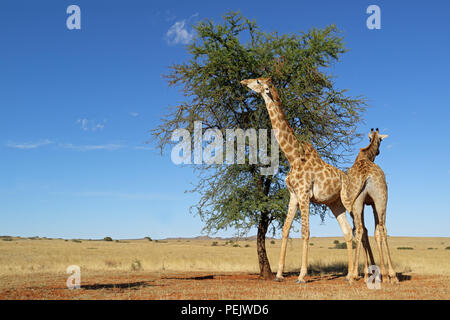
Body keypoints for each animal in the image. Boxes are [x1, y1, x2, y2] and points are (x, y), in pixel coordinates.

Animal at [241, 78, 360, 282]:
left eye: (258, 81)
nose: (243, 81)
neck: (293, 157)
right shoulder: (293, 195)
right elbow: (285, 229)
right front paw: (279, 275)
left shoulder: (304, 194)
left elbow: (305, 232)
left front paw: (302, 276)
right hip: (335, 204)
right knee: (347, 232)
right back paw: (349, 275)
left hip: (348, 200)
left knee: (360, 229)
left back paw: (361, 274)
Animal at [340, 127, 400, 282]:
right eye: (381, 140)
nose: (378, 151)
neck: (365, 156)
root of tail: (365, 175)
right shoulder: (371, 204)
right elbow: (372, 231)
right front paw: (378, 273)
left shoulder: (366, 204)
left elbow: (367, 232)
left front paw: (371, 272)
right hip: (380, 200)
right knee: (380, 228)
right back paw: (391, 275)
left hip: (361, 202)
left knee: (362, 229)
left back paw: (354, 275)